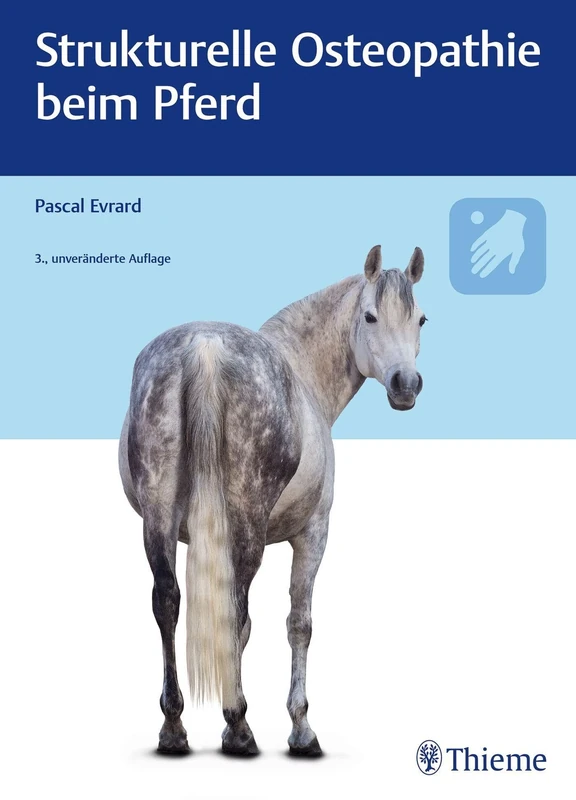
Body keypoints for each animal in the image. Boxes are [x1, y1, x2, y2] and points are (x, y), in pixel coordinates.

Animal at [118, 244, 426, 757]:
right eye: (370, 316)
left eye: (421, 319)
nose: (406, 384)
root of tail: (204, 349)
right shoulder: (313, 533)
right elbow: (297, 623)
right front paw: (299, 727)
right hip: (247, 526)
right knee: (236, 610)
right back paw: (241, 729)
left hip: (157, 520)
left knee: (168, 602)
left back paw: (175, 728)